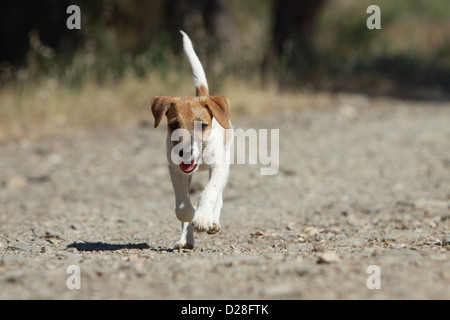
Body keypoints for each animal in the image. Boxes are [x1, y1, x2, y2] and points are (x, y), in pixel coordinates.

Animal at [153, 30, 234, 250]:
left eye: (202, 126)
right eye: (174, 125)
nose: (186, 152)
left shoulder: (219, 167)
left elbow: (209, 192)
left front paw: (204, 218)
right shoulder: (175, 169)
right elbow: (182, 205)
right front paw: (191, 216)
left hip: (227, 160)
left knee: (219, 196)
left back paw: (212, 220)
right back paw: (186, 239)